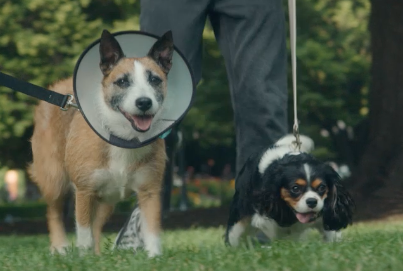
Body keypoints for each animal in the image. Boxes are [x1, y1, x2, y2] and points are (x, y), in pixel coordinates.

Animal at [28, 29, 174, 258]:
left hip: (107, 198)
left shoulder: (149, 191)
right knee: (54, 212)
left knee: (96, 224)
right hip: (54, 178)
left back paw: (97, 256)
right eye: (122, 82)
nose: (144, 102)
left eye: (154, 79)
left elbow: (151, 229)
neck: (123, 137)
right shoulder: (84, 191)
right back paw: (60, 247)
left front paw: (154, 257)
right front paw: (82, 258)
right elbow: (83, 231)